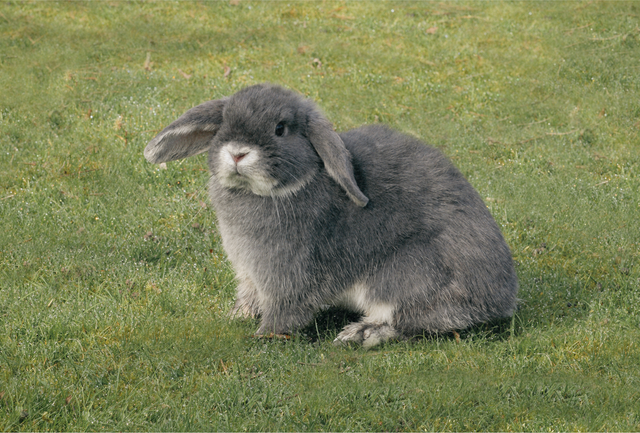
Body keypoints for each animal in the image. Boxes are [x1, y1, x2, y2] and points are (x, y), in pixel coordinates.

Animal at [144, 83, 518, 348]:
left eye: (280, 128)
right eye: (223, 124)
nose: (237, 153)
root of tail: (502, 298)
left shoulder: (286, 272)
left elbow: (285, 309)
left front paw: (264, 335)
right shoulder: (249, 273)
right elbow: (249, 295)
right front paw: (237, 315)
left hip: (406, 272)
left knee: (411, 320)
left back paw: (359, 335)